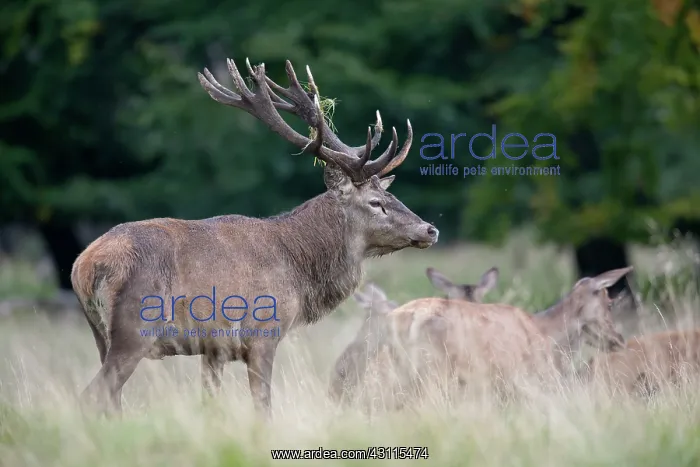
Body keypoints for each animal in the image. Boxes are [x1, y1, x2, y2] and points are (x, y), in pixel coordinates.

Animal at [71, 57, 439, 417]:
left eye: (392, 196)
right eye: (375, 202)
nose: (429, 229)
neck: (299, 269)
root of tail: (84, 266)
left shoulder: (213, 349)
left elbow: (210, 406)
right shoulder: (263, 334)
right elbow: (263, 408)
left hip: (100, 334)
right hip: (135, 328)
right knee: (93, 395)